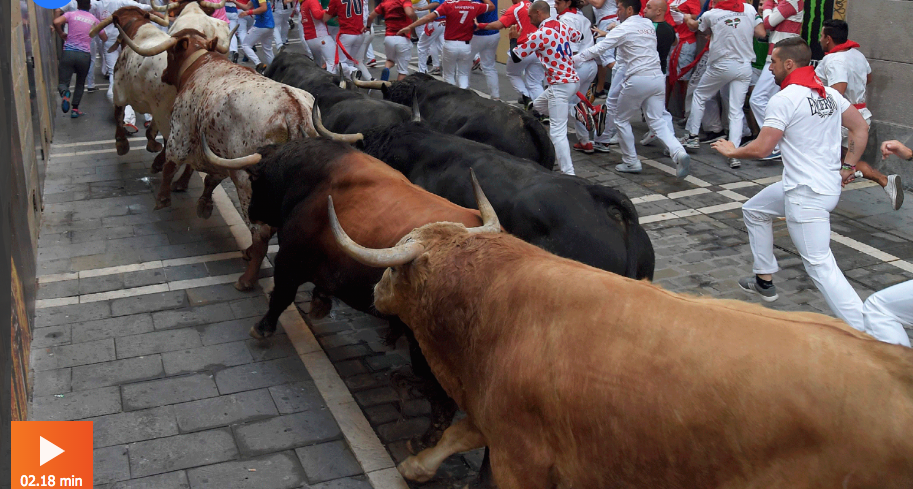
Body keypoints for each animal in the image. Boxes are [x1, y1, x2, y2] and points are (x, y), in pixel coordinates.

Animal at [332, 189, 912, 486]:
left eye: (396, 270)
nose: (376, 290)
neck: (498, 300)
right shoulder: (495, 417)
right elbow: (457, 434)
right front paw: (415, 465)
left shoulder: (523, 456)